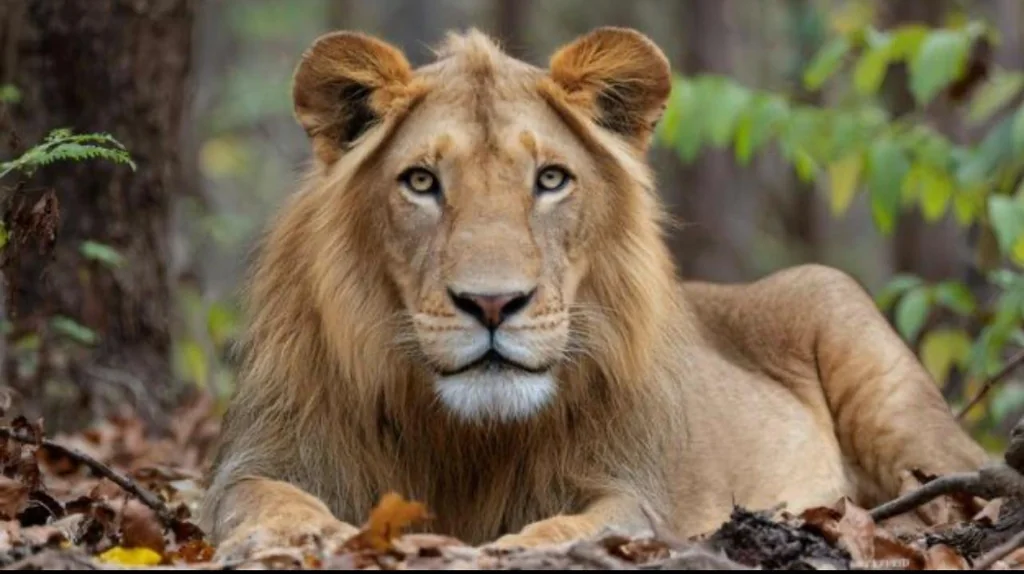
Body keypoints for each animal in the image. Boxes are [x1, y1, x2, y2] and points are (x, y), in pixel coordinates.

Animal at [199, 27, 992, 554]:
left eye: (551, 179)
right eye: (421, 182)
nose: (493, 304)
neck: (463, 438)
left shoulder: (633, 486)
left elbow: (581, 527)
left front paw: (506, 551)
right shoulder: (260, 457)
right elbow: (260, 500)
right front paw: (313, 535)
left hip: (860, 344)